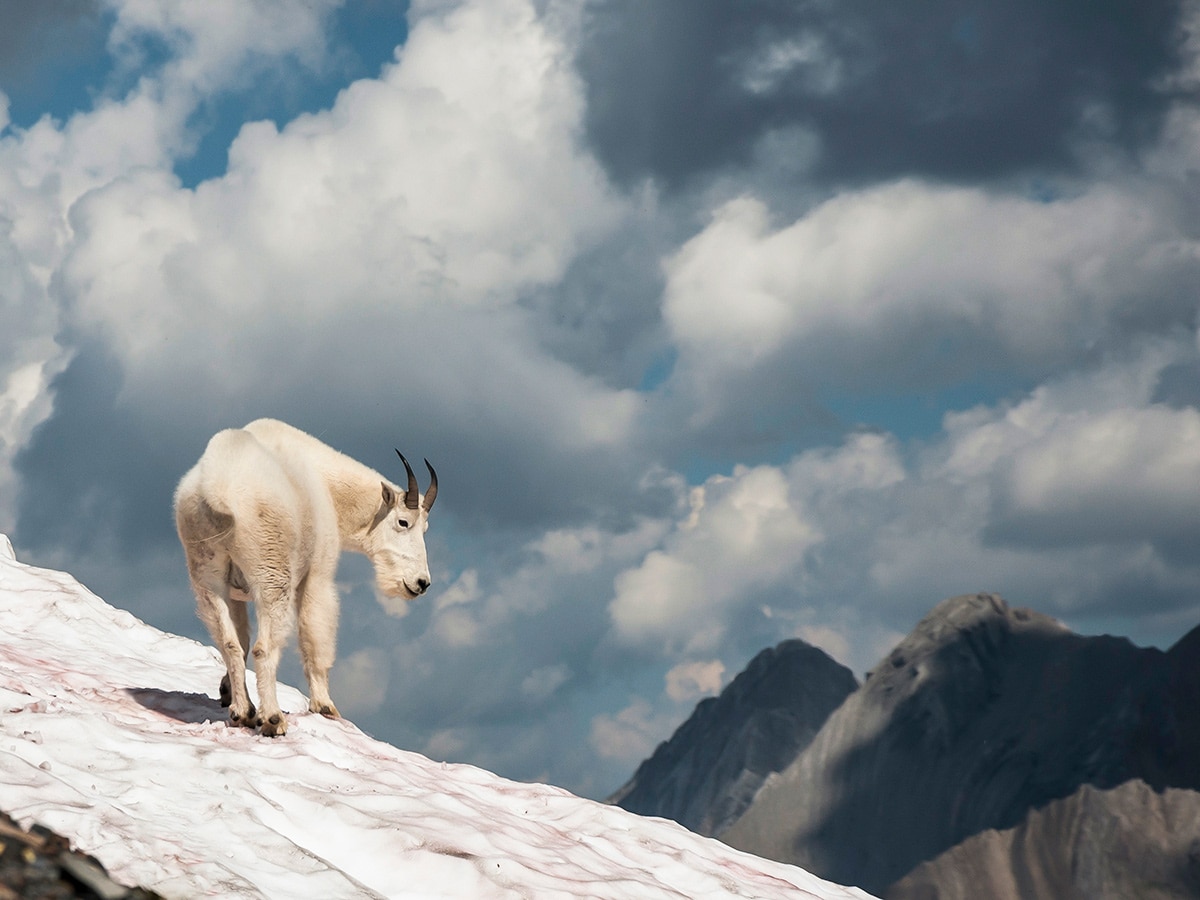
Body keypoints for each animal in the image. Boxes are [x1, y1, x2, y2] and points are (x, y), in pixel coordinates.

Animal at [174, 420, 441, 734]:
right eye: (403, 522)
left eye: (424, 529)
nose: (421, 583)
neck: (328, 488)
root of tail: (217, 489)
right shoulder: (317, 575)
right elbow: (316, 637)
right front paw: (325, 706)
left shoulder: (233, 593)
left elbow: (239, 640)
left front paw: (227, 693)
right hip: (272, 574)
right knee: (265, 648)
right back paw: (272, 718)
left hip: (207, 575)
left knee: (230, 643)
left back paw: (243, 712)